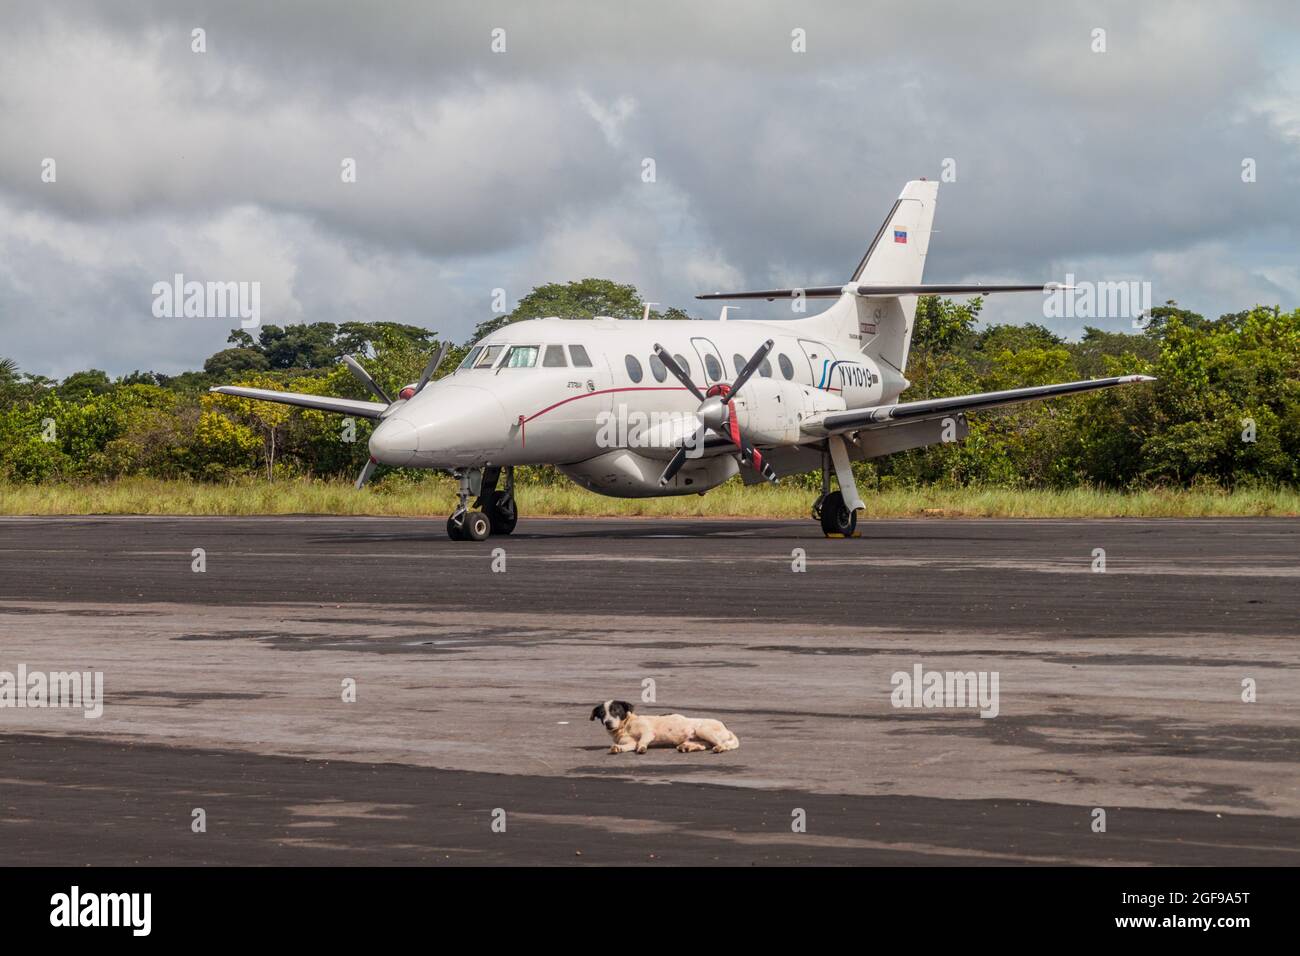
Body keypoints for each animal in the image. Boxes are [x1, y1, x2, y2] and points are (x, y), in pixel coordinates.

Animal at [592, 702, 743, 754]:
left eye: (615, 711)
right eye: (602, 713)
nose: (608, 723)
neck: (626, 725)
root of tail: (726, 728)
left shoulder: (648, 732)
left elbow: (641, 743)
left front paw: (642, 748)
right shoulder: (630, 742)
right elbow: (629, 746)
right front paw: (618, 748)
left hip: (703, 729)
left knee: (722, 744)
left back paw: (720, 748)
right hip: (699, 738)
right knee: (704, 745)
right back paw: (688, 747)